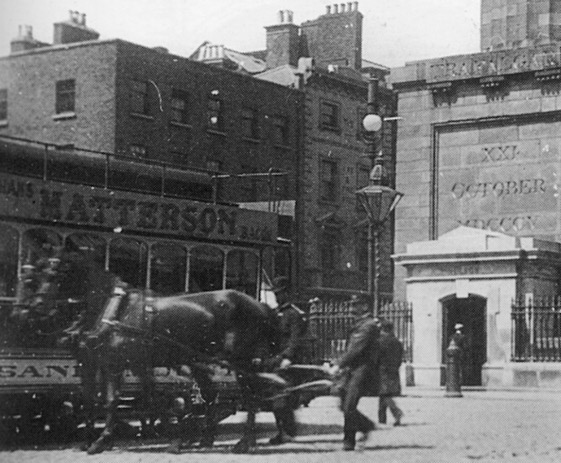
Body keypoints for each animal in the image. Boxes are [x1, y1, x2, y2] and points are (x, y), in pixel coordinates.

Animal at [14, 252, 280, 454]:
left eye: (53, 276)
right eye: (33, 278)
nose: (31, 308)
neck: (112, 309)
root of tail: (260, 305)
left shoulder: (114, 364)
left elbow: (111, 400)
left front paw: (102, 440)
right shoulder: (102, 363)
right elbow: (103, 400)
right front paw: (90, 439)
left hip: (242, 361)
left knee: (251, 397)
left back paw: (245, 442)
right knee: (212, 395)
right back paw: (207, 438)